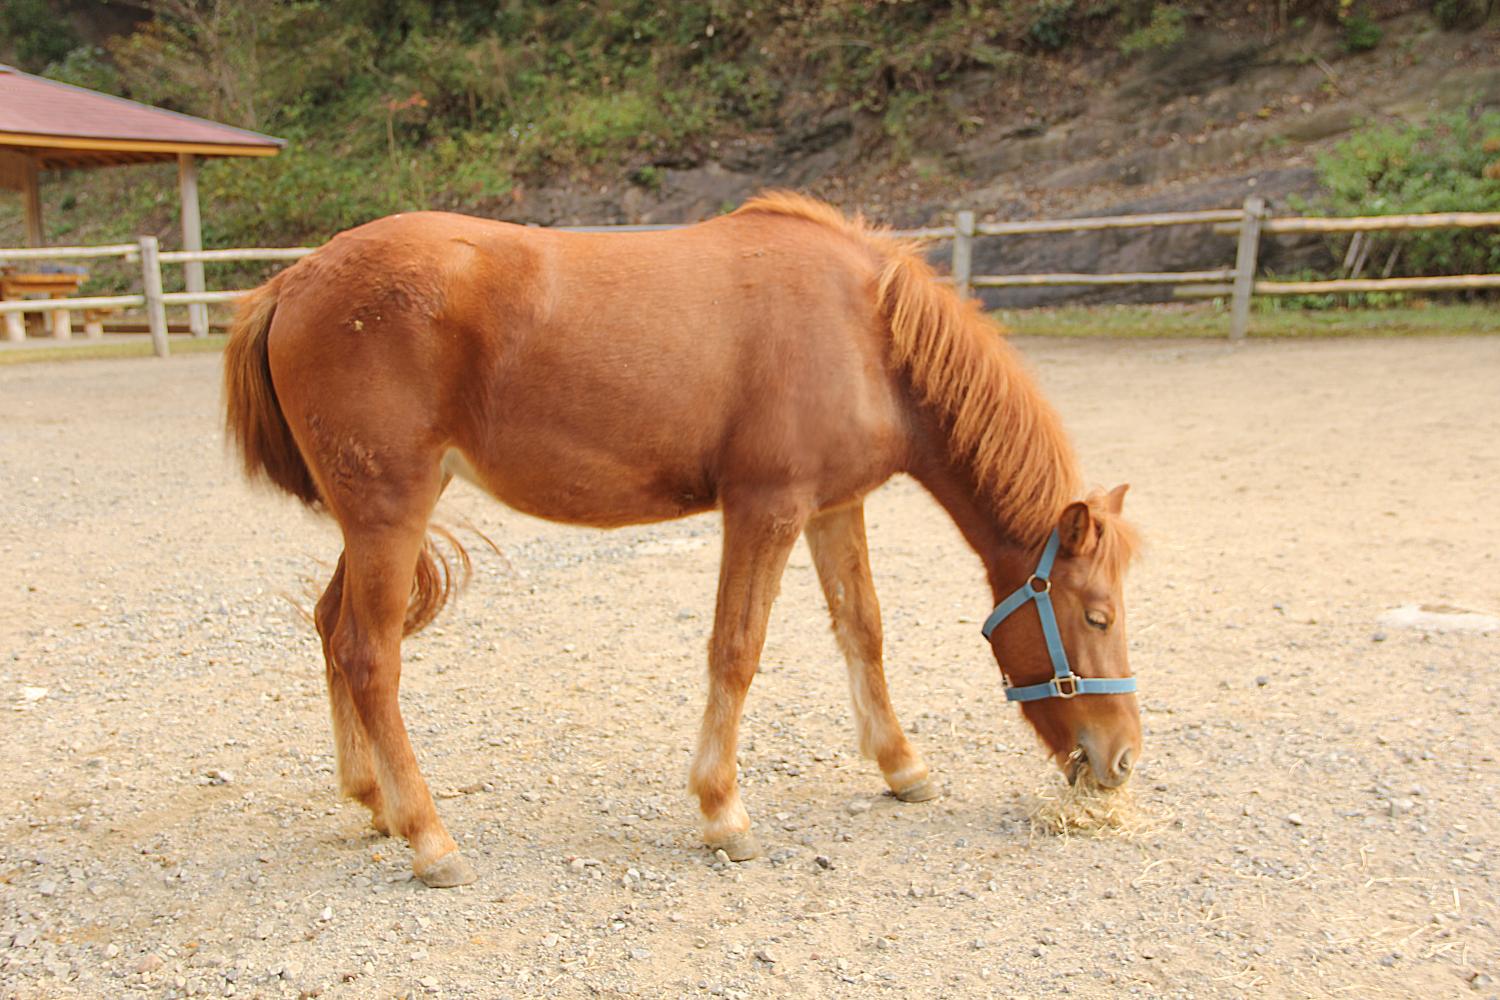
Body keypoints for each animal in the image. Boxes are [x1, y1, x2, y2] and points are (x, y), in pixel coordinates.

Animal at [223, 192, 1142, 888]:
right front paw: (722, 811)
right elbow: (737, 649)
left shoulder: (834, 508)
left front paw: (901, 765)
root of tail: (293, 280)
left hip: (381, 517)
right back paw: (429, 838)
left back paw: (373, 800)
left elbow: (863, 631)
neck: (865, 332)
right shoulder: (766, 508)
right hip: (390, 511)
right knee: (370, 655)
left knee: (331, 629)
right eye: (1096, 616)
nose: (1123, 758)